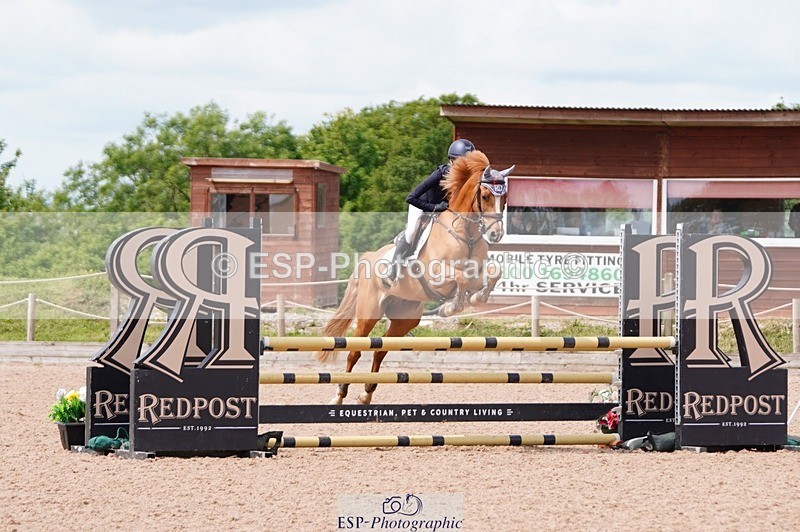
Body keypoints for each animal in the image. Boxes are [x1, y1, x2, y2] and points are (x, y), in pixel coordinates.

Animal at [316, 150, 514, 405]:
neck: (466, 233)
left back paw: (366, 394)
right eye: (486, 195)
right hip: (369, 313)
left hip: (405, 317)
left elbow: (492, 273)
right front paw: (452, 306)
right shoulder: (437, 275)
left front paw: (474, 299)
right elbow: (460, 278)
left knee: (380, 349)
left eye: (504, 197)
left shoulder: (477, 272)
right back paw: (339, 396)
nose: (495, 234)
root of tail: (369, 257)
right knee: (355, 351)